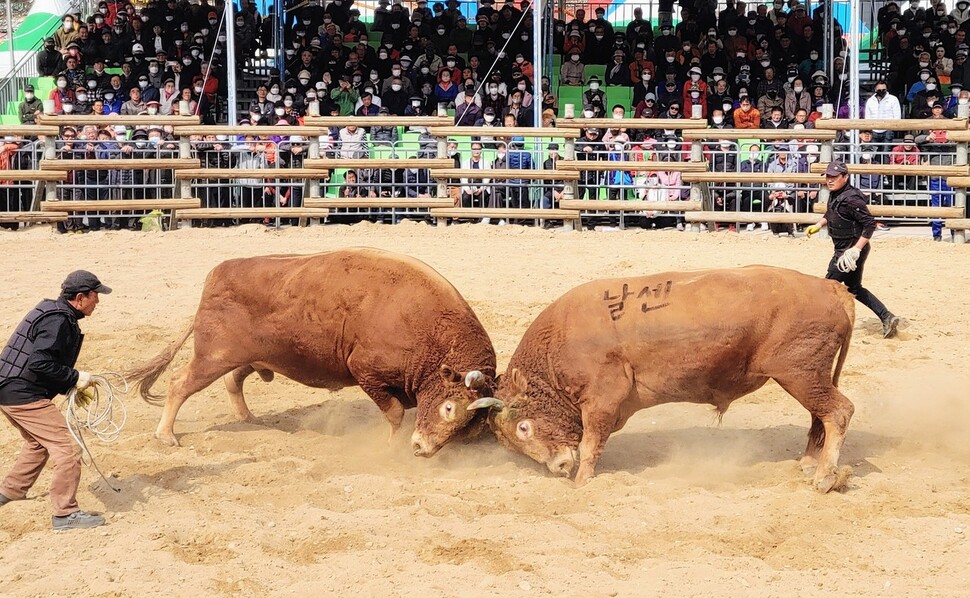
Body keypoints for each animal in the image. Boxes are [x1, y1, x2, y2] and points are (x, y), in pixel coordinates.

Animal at [127, 247, 496, 454]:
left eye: (469, 423)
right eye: (448, 408)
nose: (423, 448)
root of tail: (216, 275)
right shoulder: (366, 372)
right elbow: (393, 413)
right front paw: (391, 447)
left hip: (254, 356)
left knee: (233, 380)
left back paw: (250, 419)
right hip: (212, 357)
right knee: (180, 383)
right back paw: (166, 435)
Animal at [468, 266, 856, 492]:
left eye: (524, 428)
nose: (558, 467)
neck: (558, 343)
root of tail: (832, 289)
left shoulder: (601, 400)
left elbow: (591, 443)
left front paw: (581, 482)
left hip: (800, 375)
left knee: (838, 412)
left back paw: (825, 477)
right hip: (810, 377)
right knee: (819, 416)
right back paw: (809, 465)